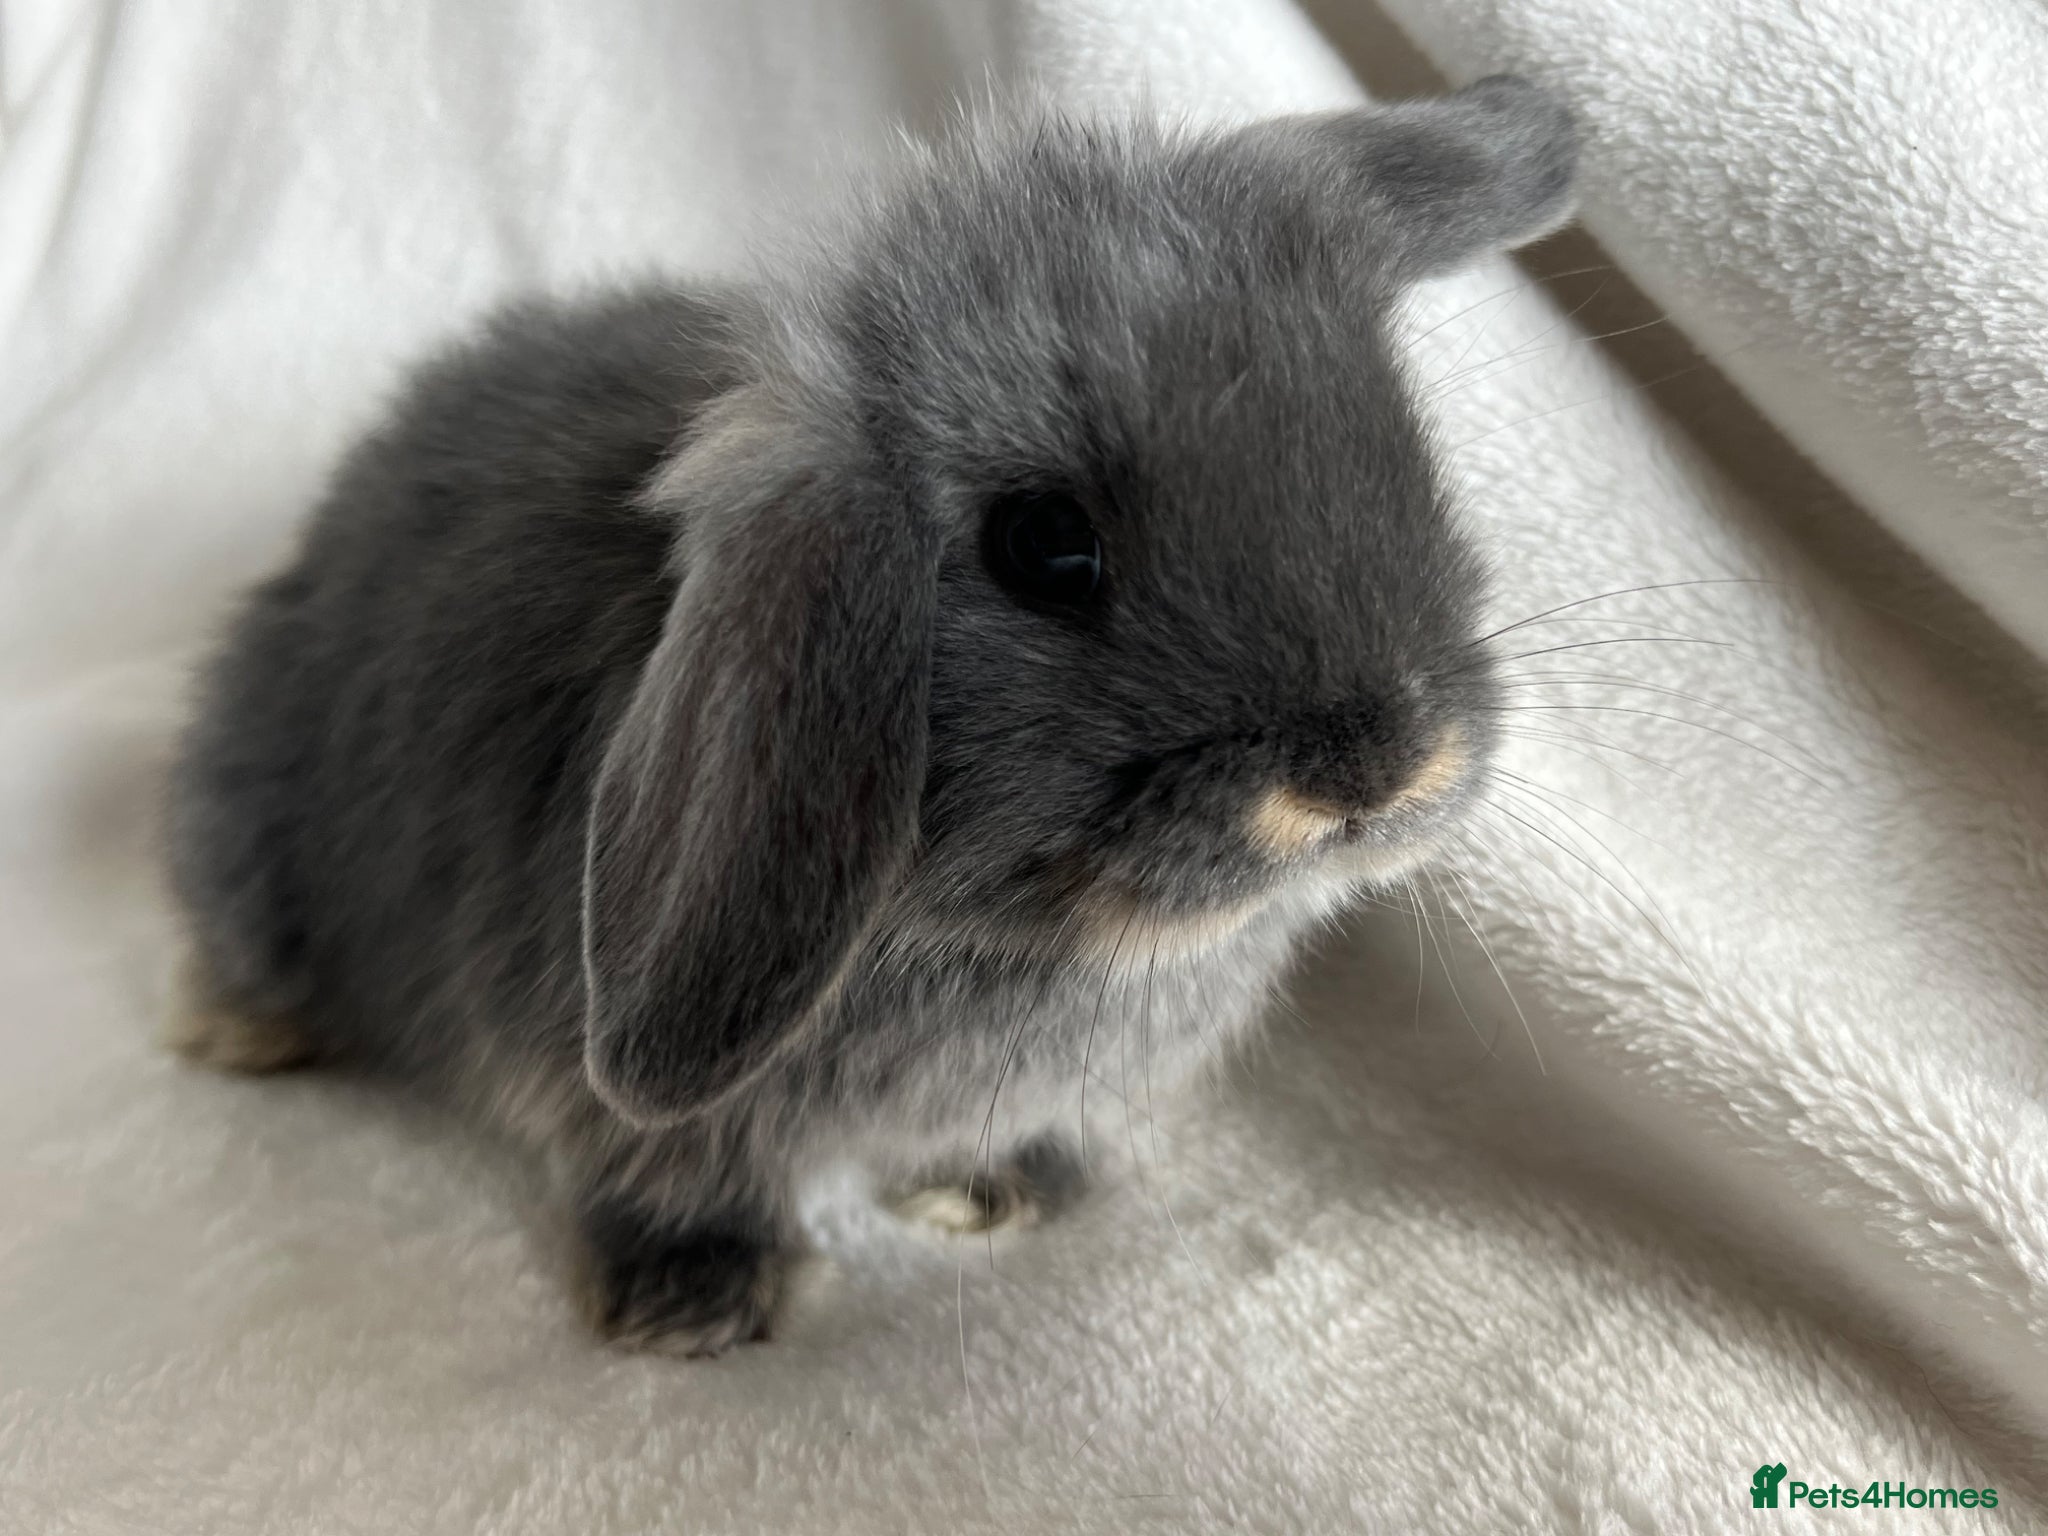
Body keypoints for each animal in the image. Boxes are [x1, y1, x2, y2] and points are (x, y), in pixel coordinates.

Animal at [164, 77, 1577, 1356]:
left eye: (1395, 447)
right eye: (1045, 544)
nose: (1377, 771)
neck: (1038, 944)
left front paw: (1005, 1193)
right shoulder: (592, 1063)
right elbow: (657, 1158)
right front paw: (692, 1304)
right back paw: (245, 1032)